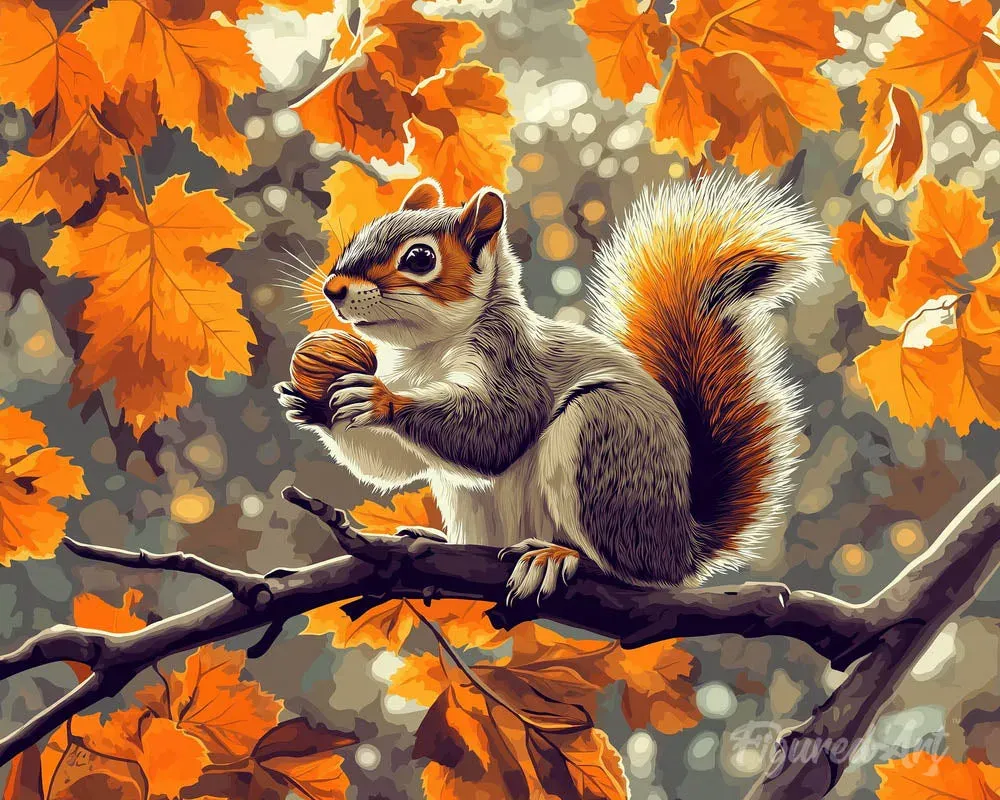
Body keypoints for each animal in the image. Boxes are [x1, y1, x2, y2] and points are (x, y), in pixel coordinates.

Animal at [276, 172, 827, 602]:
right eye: (359, 235)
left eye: (418, 259)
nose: (332, 289)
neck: (426, 352)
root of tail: (680, 548)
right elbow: (392, 464)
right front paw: (313, 403)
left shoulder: (512, 362)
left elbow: (495, 432)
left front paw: (380, 399)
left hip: (606, 436)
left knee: (631, 573)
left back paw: (558, 556)